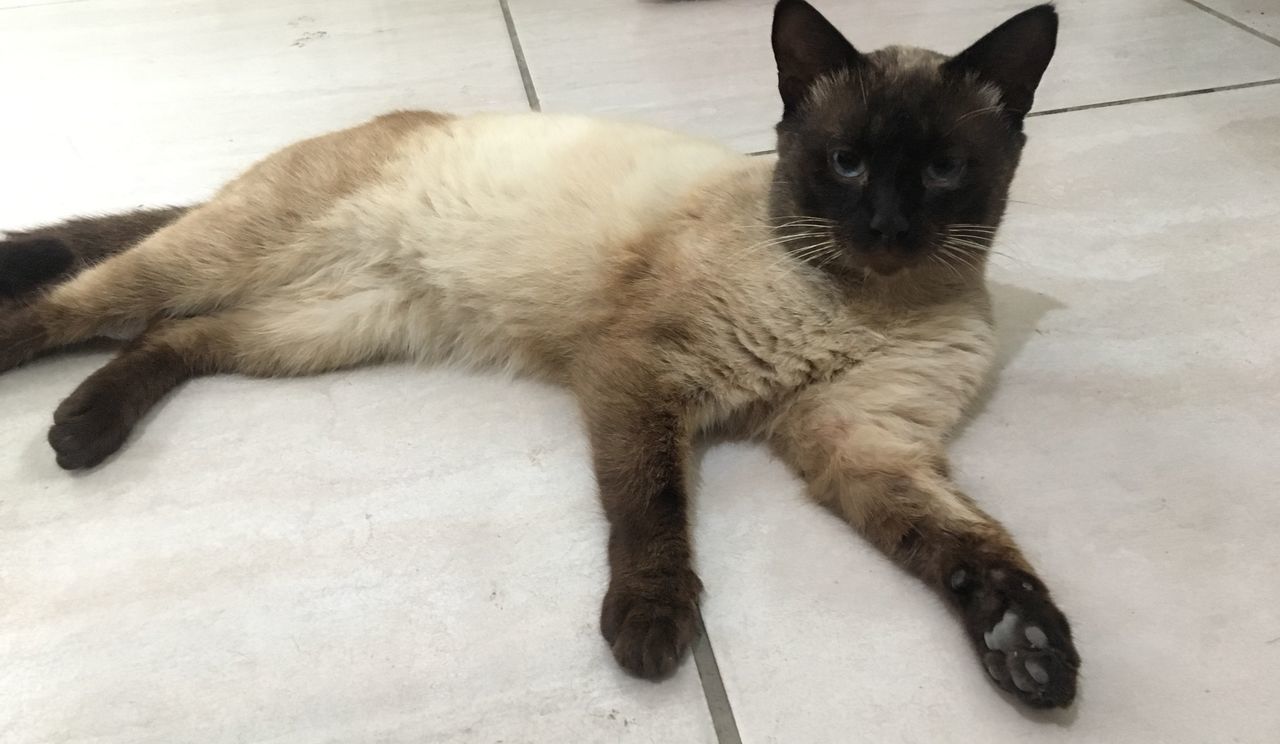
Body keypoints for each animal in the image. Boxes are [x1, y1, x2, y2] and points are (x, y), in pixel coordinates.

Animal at [0, 0, 1080, 706]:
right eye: (846, 163)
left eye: (943, 170)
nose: (887, 228)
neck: (858, 302)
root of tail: (386, 120)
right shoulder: (642, 376)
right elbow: (651, 507)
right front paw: (651, 631)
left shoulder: (866, 440)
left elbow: (962, 541)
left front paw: (1029, 651)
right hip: (231, 258)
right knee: (83, 302)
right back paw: (45, 392)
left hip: (326, 328)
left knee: (176, 336)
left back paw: (85, 429)